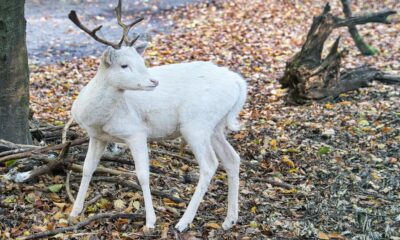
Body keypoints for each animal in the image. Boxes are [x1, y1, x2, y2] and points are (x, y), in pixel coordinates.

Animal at [69, 0, 247, 232]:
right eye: (124, 65)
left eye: (142, 62)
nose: (153, 81)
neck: (99, 118)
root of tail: (237, 82)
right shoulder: (97, 136)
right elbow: (87, 168)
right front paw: (74, 212)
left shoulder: (136, 132)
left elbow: (143, 175)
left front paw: (150, 221)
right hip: (215, 126)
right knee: (232, 158)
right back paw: (229, 220)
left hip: (196, 124)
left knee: (209, 164)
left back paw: (183, 222)